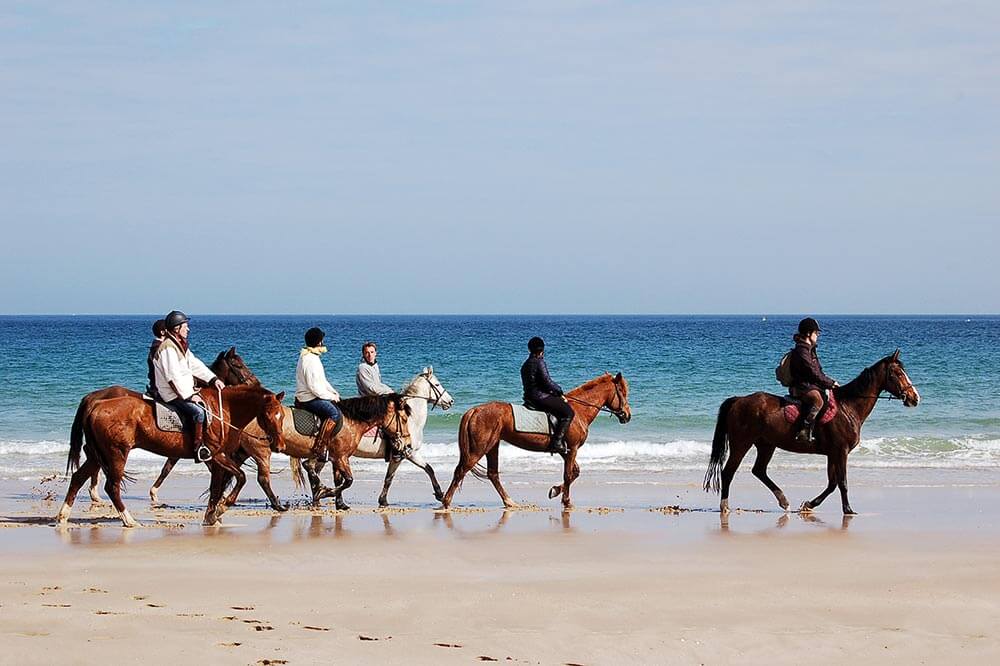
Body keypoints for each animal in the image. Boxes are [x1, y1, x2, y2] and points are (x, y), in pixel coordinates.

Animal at [57, 382, 286, 528]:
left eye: (281, 415)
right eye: (268, 415)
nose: (280, 445)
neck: (223, 411)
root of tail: (95, 404)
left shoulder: (216, 460)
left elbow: (216, 488)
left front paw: (211, 516)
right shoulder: (216, 456)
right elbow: (240, 477)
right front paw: (221, 509)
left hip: (98, 455)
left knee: (78, 478)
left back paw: (63, 516)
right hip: (116, 454)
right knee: (111, 487)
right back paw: (128, 520)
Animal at [292, 368, 456, 508]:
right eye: (437, 384)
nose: (450, 401)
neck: (411, 420)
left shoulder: (405, 454)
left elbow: (398, 476)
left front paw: (383, 500)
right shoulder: (406, 454)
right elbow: (420, 471)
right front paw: (440, 494)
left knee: (315, 471)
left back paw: (321, 499)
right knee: (312, 468)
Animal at [442, 370, 628, 506]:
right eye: (622, 392)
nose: (627, 415)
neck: (578, 410)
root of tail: (474, 410)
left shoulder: (565, 450)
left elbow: (574, 472)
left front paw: (554, 491)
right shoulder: (572, 448)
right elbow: (568, 474)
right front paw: (566, 501)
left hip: (492, 446)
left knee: (492, 474)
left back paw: (509, 502)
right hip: (479, 449)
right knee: (461, 471)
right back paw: (446, 502)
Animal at [704, 350, 920, 516]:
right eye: (898, 373)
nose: (915, 398)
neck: (848, 407)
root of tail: (739, 400)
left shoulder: (833, 453)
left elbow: (832, 483)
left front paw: (808, 505)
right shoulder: (841, 451)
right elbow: (842, 482)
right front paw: (848, 510)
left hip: (766, 445)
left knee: (759, 470)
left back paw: (783, 500)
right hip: (742, 443)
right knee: (728, 472)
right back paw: (725, 506)